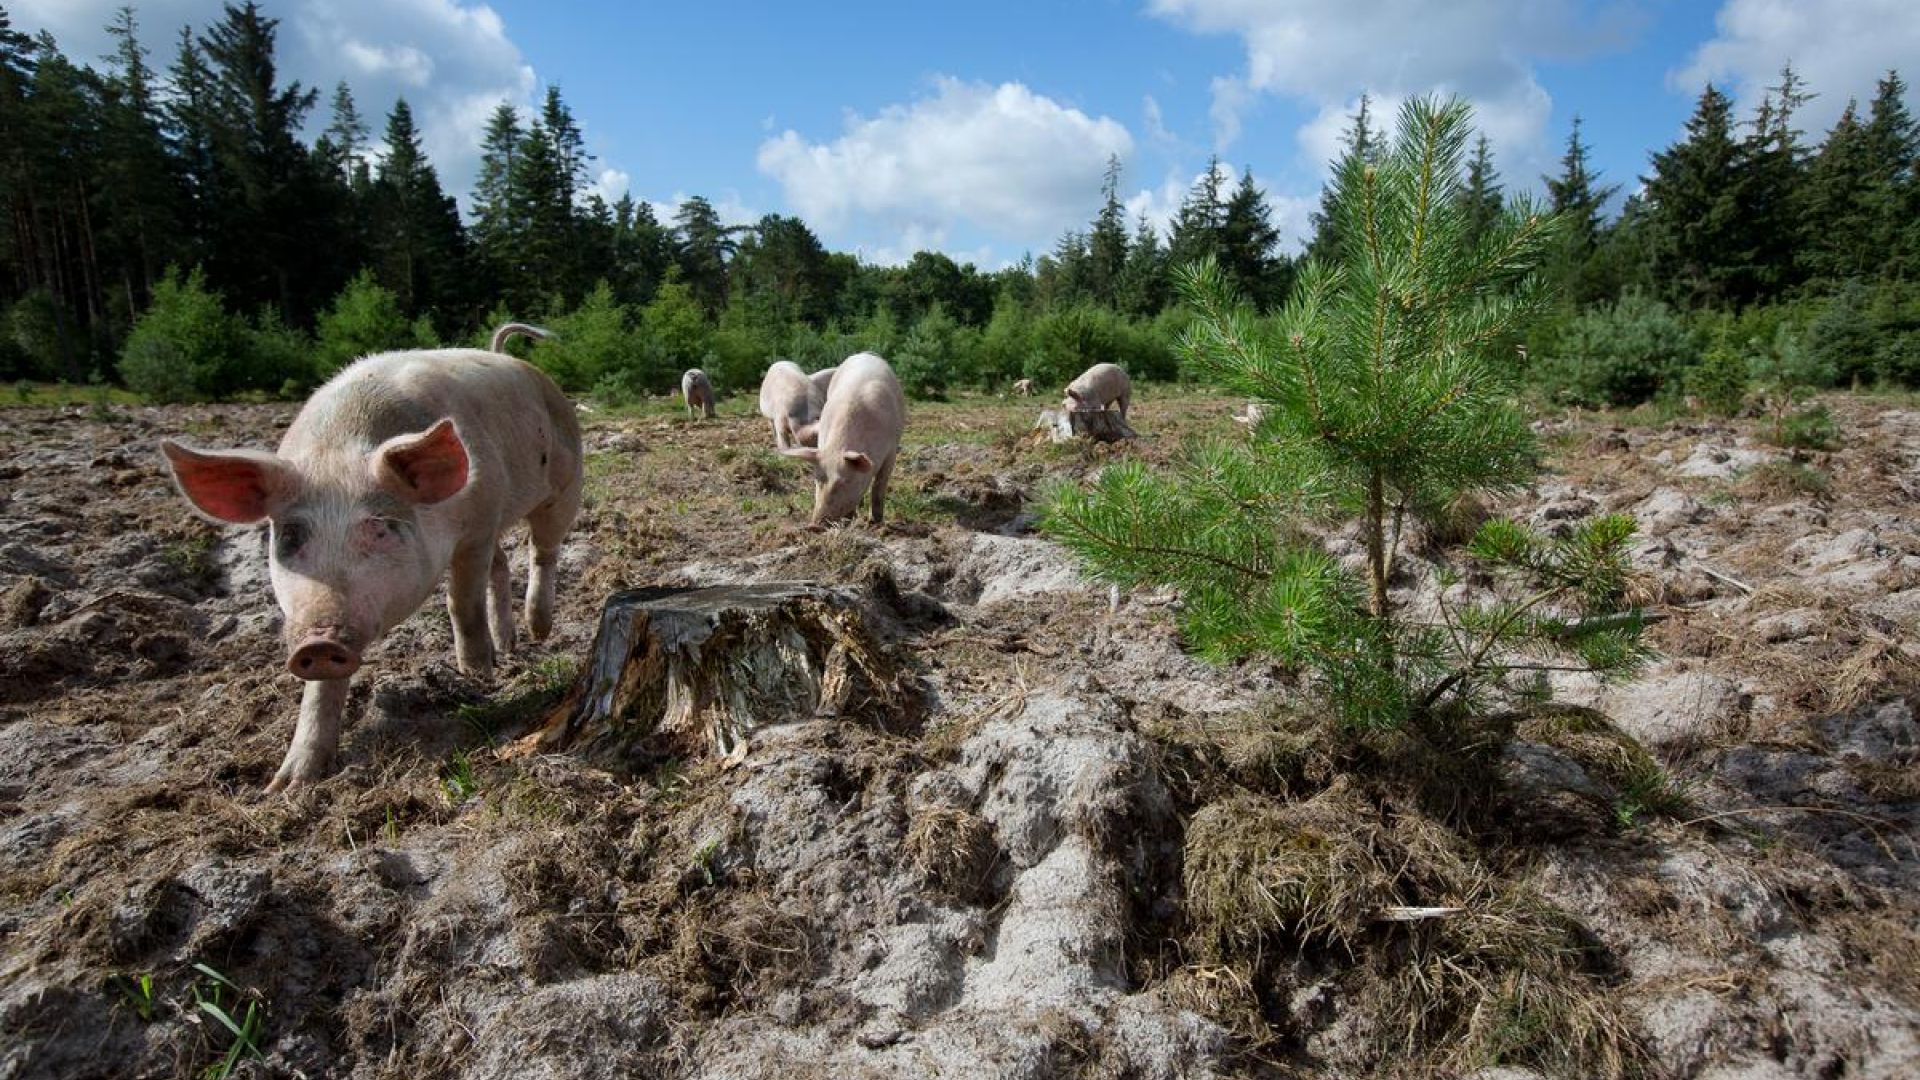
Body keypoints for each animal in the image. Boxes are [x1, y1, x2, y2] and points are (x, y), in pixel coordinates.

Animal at [156, 322, 579, 787]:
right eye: (290, 534)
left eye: (379, 526)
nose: (319, 640)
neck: (340, 446)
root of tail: (512, 360)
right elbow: (323, 686)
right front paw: (289, 784)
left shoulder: (478, 525)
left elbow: (461, 603)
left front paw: (478, 675)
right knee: (502, 567)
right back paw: (510, 644)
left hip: (563, 485)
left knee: (543, 549)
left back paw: (537, 629)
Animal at [775, 351, 902, 522]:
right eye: (817, 480)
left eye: (844, 482)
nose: (814, 524)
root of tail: (864, 354)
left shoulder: (891, 450)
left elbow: (879, 486)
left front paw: (875, 521)